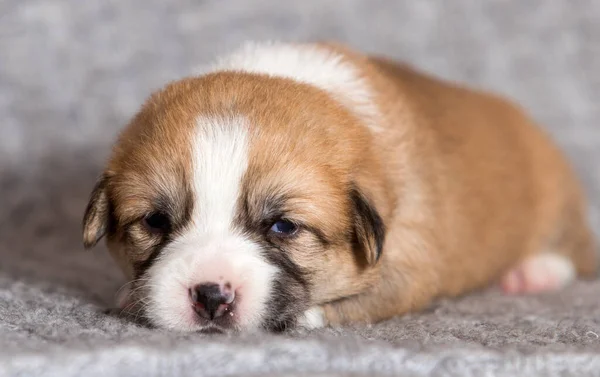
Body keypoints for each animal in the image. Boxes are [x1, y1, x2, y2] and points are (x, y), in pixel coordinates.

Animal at [82, 40, 596, 328]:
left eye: (284, 227)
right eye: (155, 221)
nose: (211, 296)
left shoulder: (409, 262)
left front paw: (305, 317)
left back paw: (535, 271)